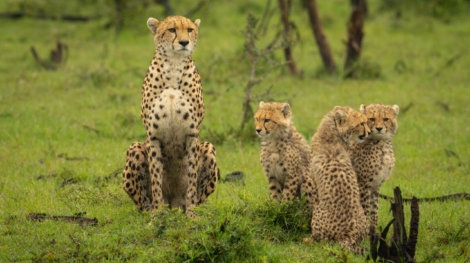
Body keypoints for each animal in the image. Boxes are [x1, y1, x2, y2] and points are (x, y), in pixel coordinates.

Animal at [121, 16, 218, 217]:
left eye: (189, 30)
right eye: (172, 30)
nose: (184, 42)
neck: (173, 65)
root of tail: (173, 203)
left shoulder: (192, 135)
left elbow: (191, 179)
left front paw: (191, 215)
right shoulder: (153, 137)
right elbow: (156, 177)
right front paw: (158, 215)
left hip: (209, 147)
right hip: (135, 148)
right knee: (143, 203)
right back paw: (152, 211)